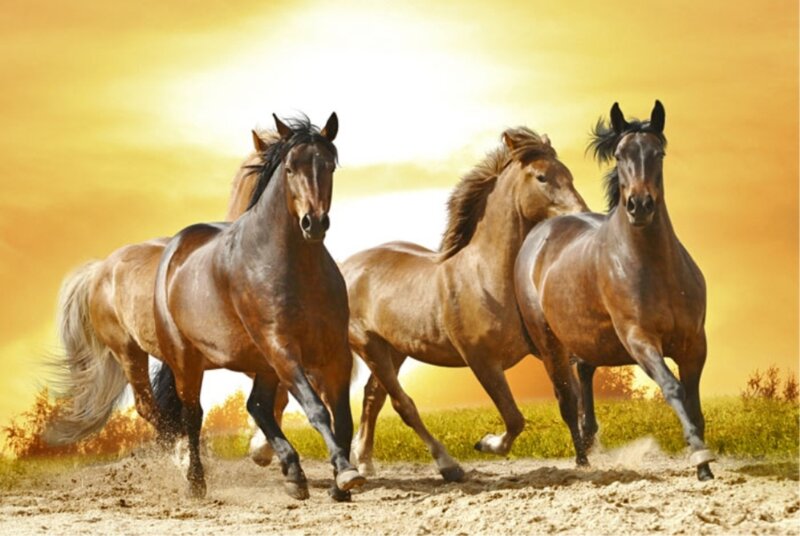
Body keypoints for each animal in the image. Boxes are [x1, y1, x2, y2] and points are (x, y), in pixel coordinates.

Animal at [152, 113, 366, 500]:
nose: (314, 223)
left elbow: (342, 417)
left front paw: (341, 483)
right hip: (188, 361)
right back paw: (197, 483)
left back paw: (293, 473)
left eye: (329, 166)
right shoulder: (282, 347)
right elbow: (316, 410)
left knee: (257, 406)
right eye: (290, 168)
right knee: (194, 415)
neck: (295, 267)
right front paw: (345, 473)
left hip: (262, 362)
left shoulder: (335, 352)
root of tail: (174, 250)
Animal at [341, 127, 587, 480]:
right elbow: (514, 418)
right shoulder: (481, 361)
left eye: (568, 174)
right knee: (403, 404)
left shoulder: (549, 349)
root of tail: (346, 267)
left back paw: (364, 460)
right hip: (370, 346)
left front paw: (586, 458)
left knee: (373, 397)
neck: (487, 276)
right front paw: (485, 443)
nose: (580, 215)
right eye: (542, 177)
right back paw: (448, 465)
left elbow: (570, 400)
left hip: (395, 350)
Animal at [514, 100, 715, 481]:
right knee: (566, 399)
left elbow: (695, 404)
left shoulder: (694, 343)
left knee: (584, 375)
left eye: (658, 153)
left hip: (588, 339)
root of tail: (539, 233)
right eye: (620, 155)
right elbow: (673, 388)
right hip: (550, 344)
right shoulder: (639, 339)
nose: (640, 205)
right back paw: (582, 461)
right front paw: (700, 458)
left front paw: (704, 462)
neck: (655, 268)